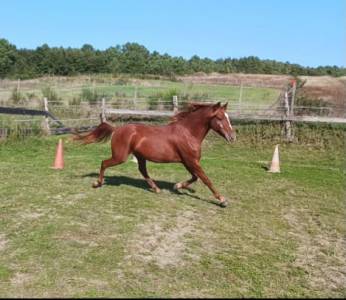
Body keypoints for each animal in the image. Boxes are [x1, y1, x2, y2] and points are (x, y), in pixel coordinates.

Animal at [73, 102, 235, 207]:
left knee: (142, 170)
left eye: (228, 117)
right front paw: (222, 200)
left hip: (140, 156)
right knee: (104, 163)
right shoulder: (191, 161)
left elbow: (195, 177)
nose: (232, 137)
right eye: (220, 118)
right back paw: (97, 183)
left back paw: (156, 188)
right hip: (120, 156)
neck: (188, 133)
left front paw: (177, 186)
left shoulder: (189, 162)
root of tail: (117, 129)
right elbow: (206, 179)